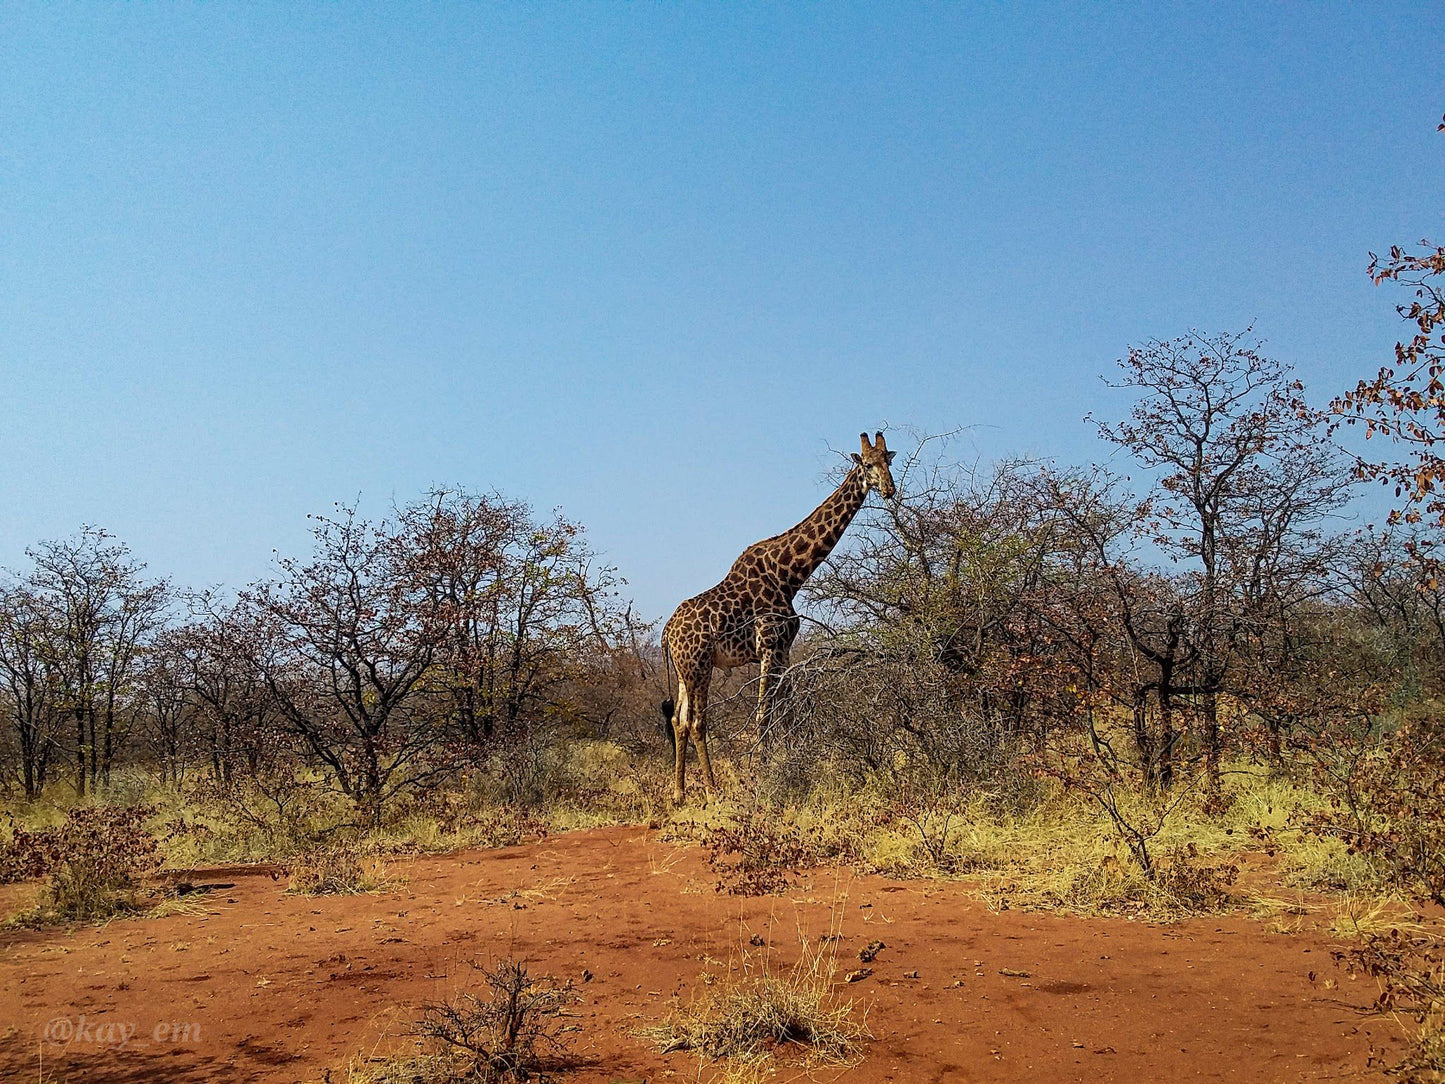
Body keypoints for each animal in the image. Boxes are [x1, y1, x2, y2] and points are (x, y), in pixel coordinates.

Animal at [661, 433, 890, 809]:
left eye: (889, 462)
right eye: (868, 465)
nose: (889, 489)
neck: (789, 575)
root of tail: (666, 633)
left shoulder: (784, 649)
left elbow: (789, 711)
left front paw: (798, 761)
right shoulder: (769, 646)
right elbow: (764, 712)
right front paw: (764, 770)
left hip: (683, 671)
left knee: (679, 720)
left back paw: (680, 793)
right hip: (699, 666)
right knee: (696, 720)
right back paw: (712, 789)